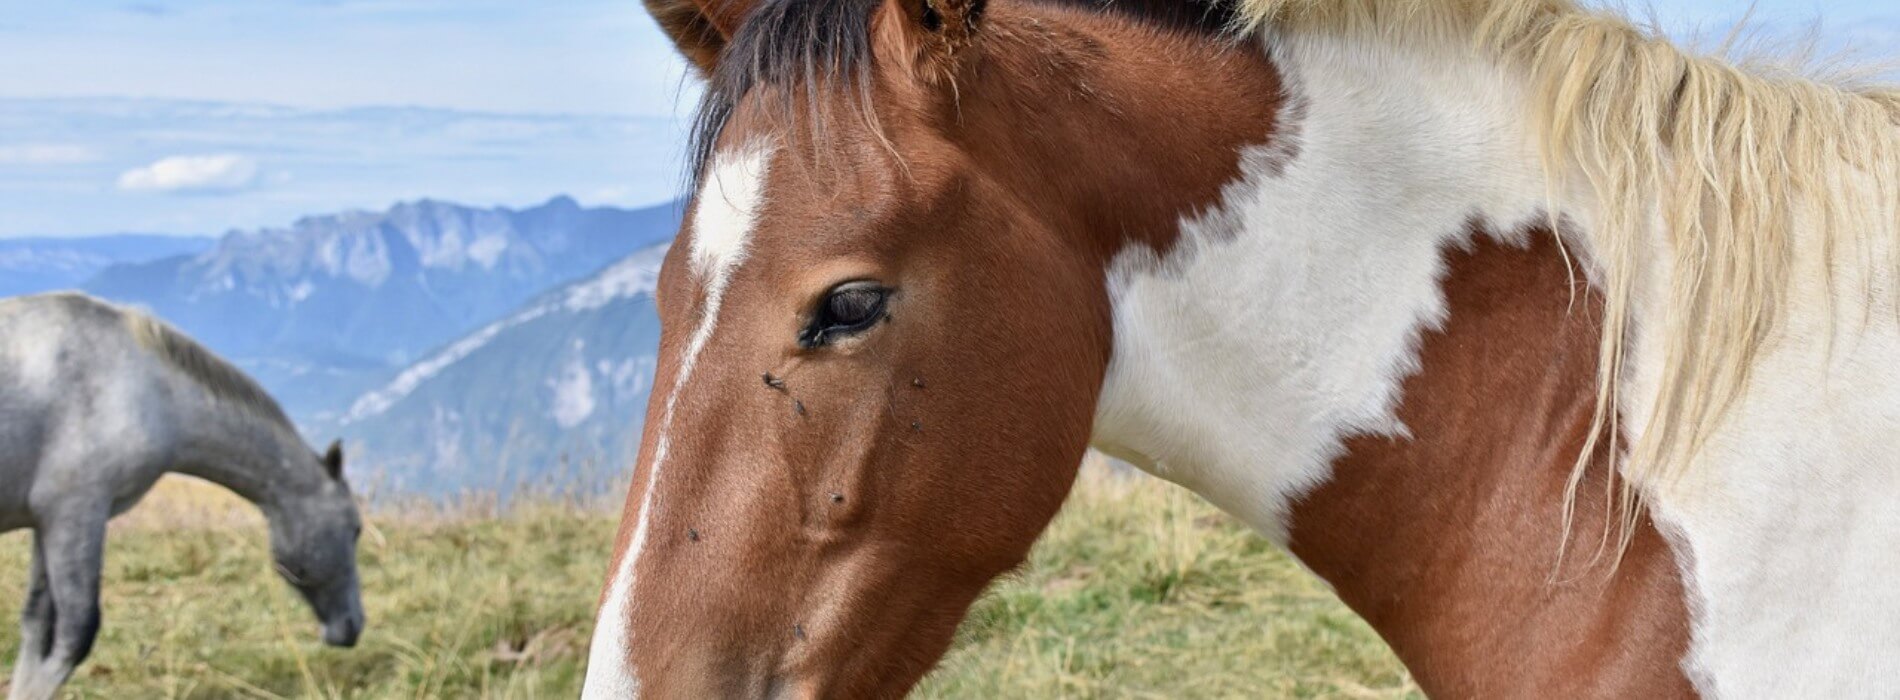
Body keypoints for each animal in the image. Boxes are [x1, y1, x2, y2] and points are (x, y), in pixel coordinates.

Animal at [0, 291, 362, 700]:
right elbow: (75, 633)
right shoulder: (76, 515)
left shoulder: (45, 523)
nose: (352, 625)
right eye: (355, 529)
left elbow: (36, 627)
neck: (147, 386)